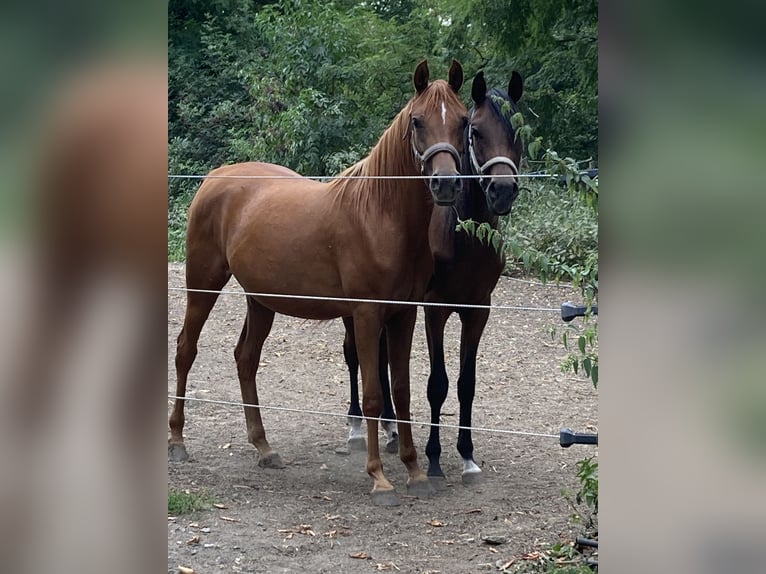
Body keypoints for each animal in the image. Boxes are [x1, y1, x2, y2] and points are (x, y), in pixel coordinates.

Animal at [169, 60, 469, 507]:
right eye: (417, 121)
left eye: (463, 121)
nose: (446, 184)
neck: (380, 215)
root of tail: (216, 177)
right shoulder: (366, 316)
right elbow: (374, 393)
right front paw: (380, 478)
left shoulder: (404, 315)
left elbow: (401, 391)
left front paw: (415, 471)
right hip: (203, 284)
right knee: (185, 349)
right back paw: (177, 441)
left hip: (261, 300)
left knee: (245, 359)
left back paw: (264, 448)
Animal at [342, 70, 524, 487]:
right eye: (476, 131)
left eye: (517, 131)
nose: (502, 190)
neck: (463, 236)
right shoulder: (434, 310)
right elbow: (437, 384)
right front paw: (435, 459)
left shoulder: (478, 310)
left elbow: (466, 383)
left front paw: (468, 456)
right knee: (353, 355)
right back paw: (357, 426)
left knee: (380, 357)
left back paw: (391, 428)